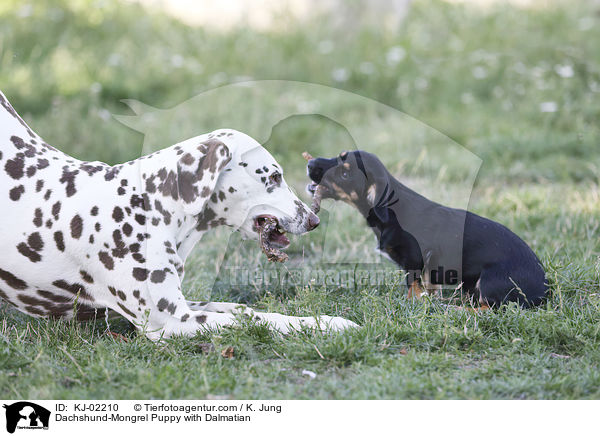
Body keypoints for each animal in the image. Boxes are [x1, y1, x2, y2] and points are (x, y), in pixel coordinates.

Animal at [0, 90, 356, 338]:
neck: (149, 206)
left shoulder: (186, 306)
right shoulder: (172, 321)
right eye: (273, 177)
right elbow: (256, 322)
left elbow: (248, 312)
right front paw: (323, 325)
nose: (314, 220)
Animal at [310, 152, 548, 308]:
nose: (311, 162)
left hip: (489, 281)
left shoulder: (414, 261)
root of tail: (545, 292)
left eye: (345, 174)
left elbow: (411, 288)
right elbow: (428, 287)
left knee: (486, 309)